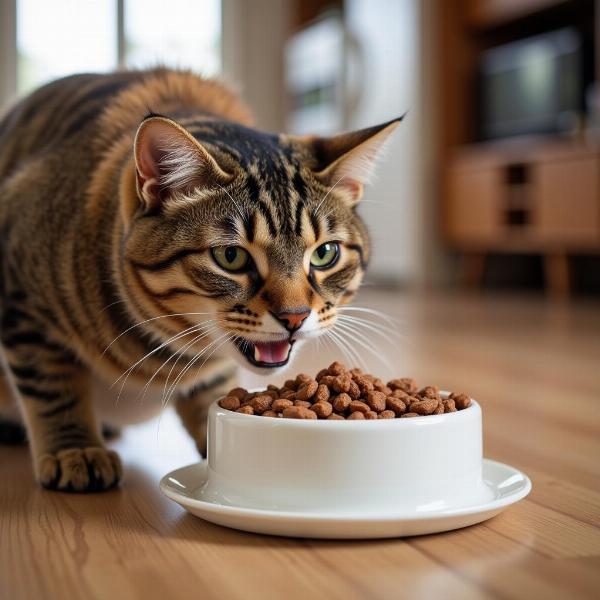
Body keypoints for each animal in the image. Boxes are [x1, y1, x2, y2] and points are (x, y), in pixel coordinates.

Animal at [1, 69, 404, 492]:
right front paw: (75, 449)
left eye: (325, 253)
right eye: (231, 256)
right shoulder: (23, 299)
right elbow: (52, 386)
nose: (294, 317)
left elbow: (210, 392)